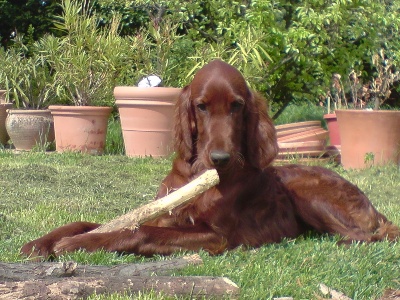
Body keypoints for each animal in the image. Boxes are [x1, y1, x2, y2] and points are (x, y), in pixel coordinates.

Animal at [20, 59, 398, 258]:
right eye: (201, 106)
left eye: (237, 106)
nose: (220, 157)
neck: (198, 173)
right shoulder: (169, 216)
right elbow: (89, 221)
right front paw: (42, 242)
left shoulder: (215, 237)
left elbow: (139, 231)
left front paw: (78, 244)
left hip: (307, 190)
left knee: (370, 233)